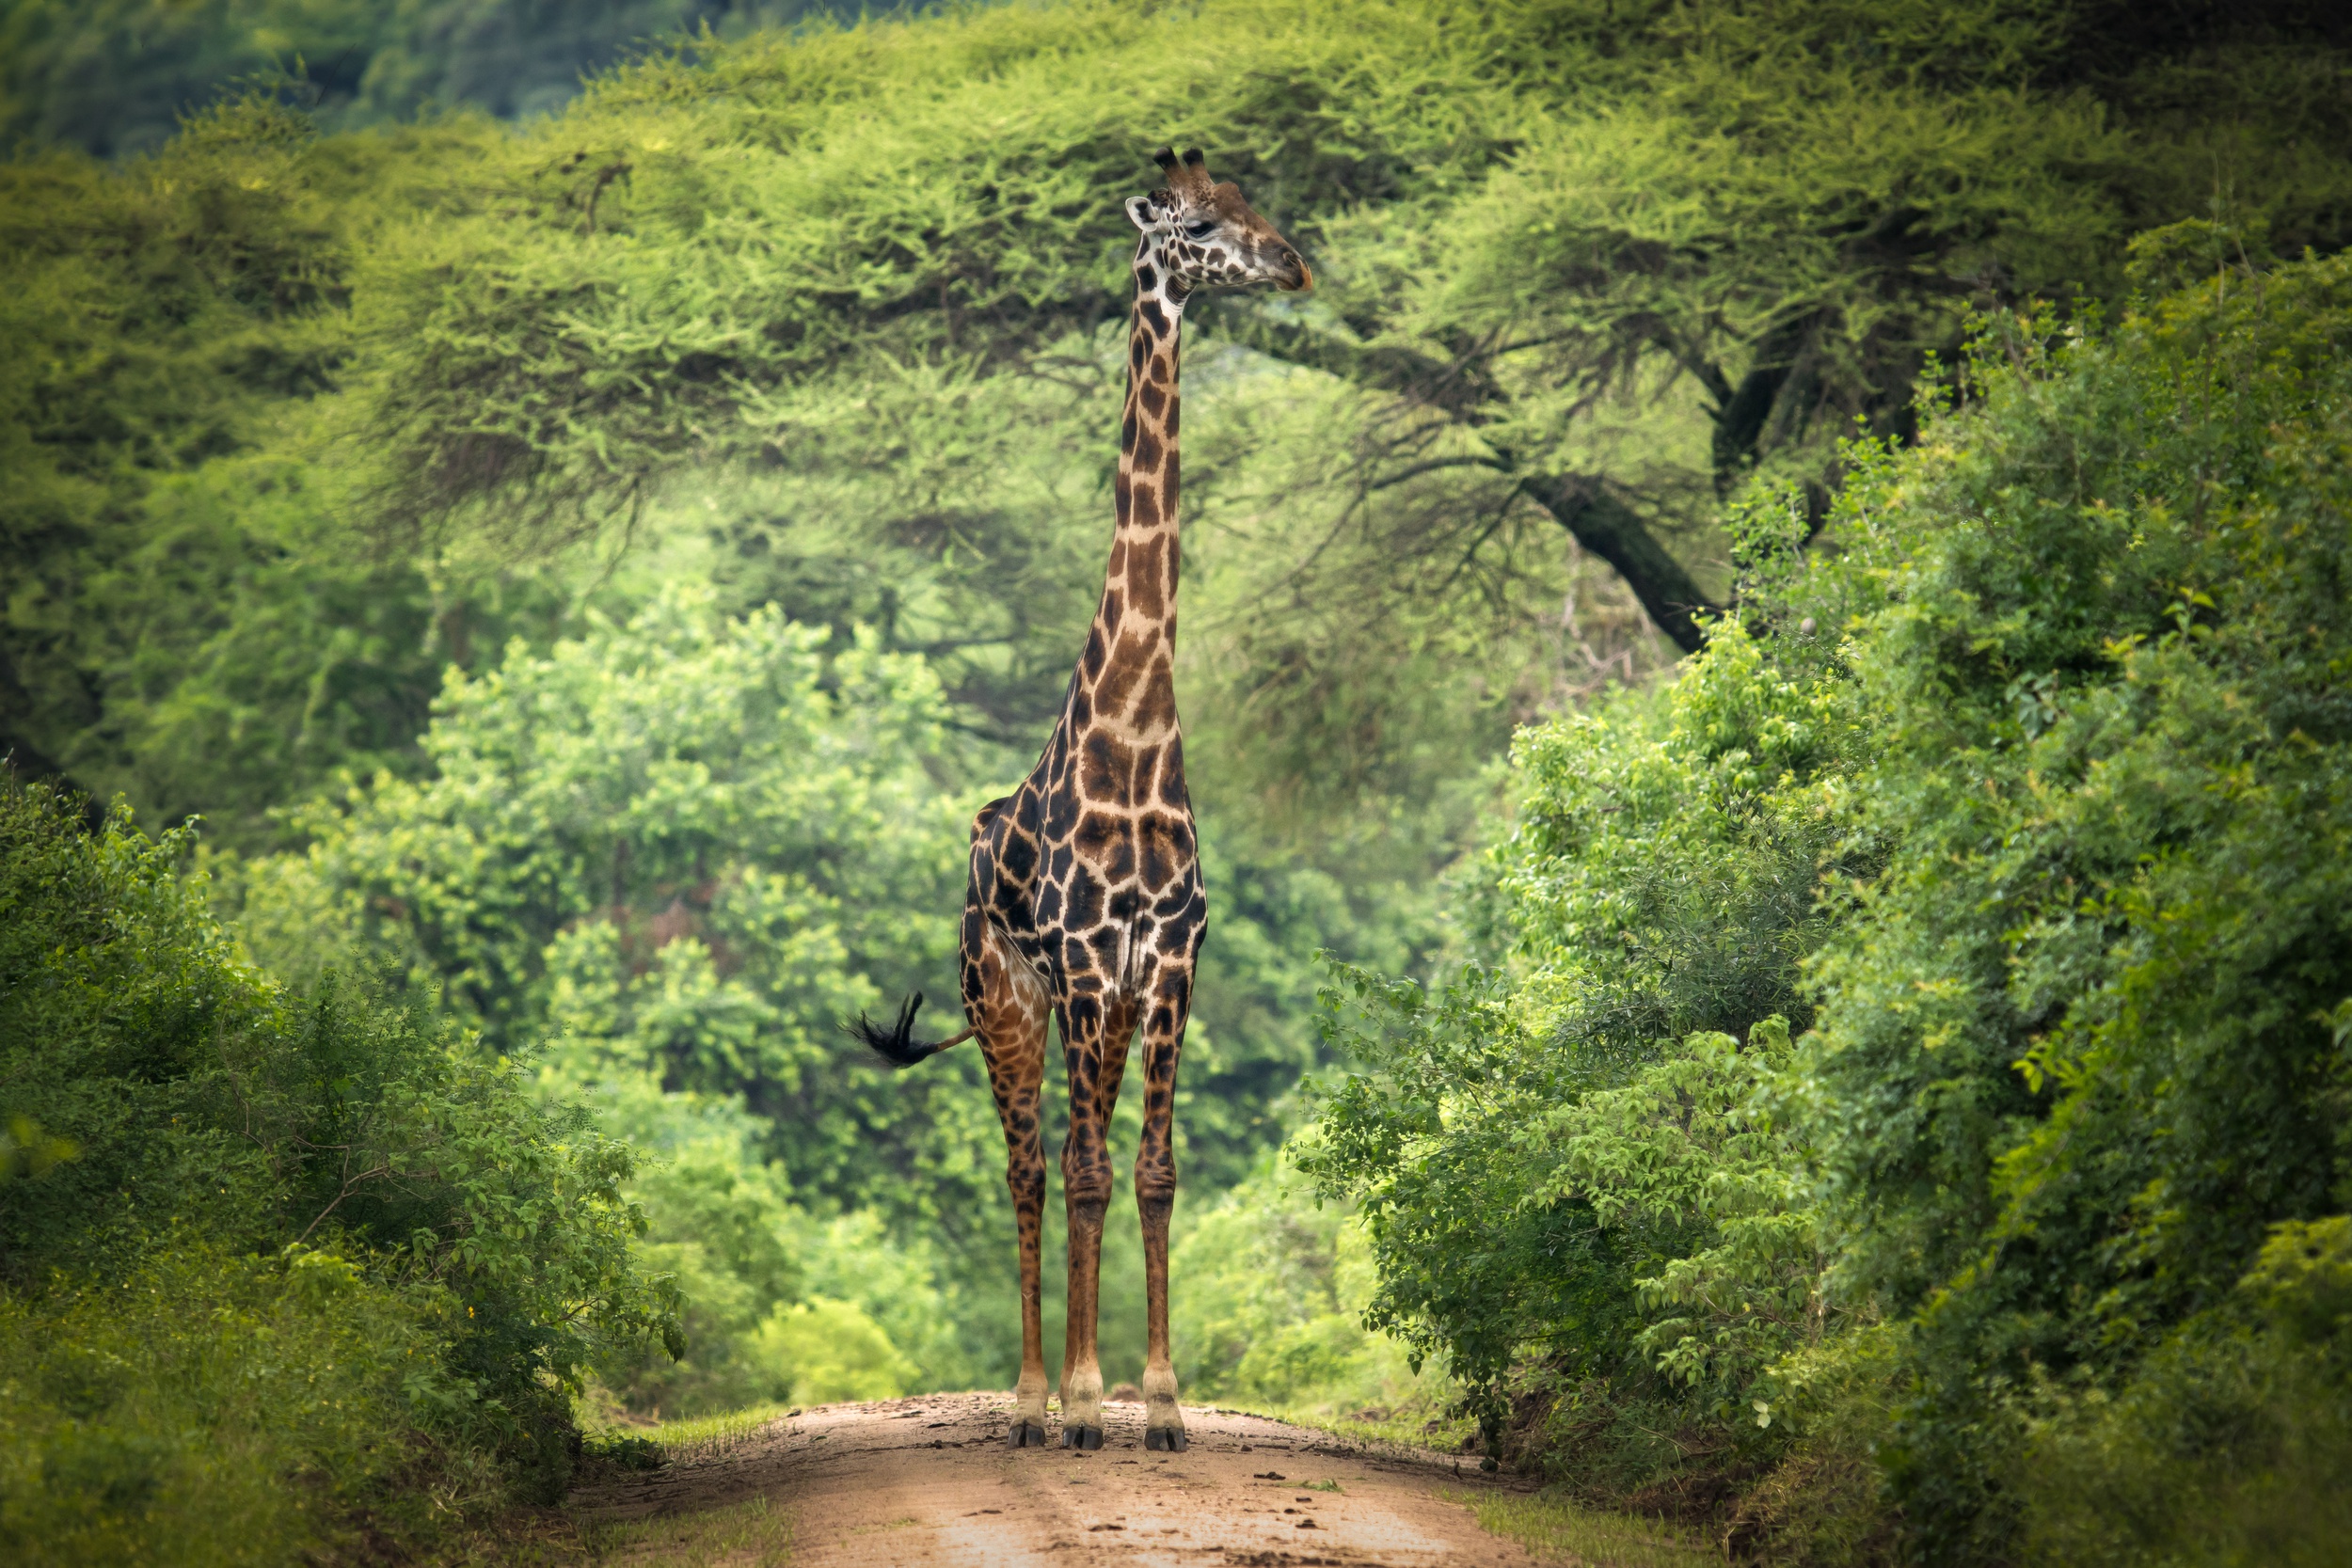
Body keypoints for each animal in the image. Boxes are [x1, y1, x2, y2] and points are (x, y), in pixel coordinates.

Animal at [851, 152, 1327, 1457]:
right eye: (1201, 223)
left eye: (1253, 198)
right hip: (1005, 1003)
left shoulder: (1165, 961)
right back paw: (1031, 1399)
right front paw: (1076, 1400)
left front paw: (1153, 1401)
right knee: (1028, 1164)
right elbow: (1075, 1171)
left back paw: (1084, 1389)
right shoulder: (1072, 963)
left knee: (1087, 1157)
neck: (1137, 734)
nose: (1293, 264)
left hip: (1098, 1011)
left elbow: (1148, 1171)